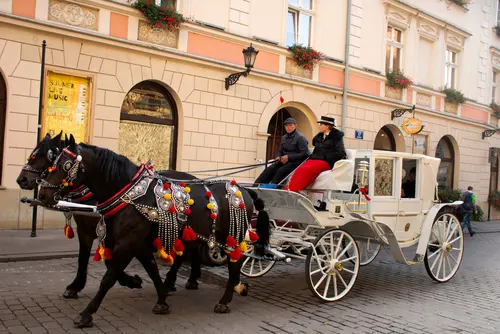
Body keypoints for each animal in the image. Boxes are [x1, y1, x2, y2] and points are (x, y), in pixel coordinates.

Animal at [16, 133, 202, 300]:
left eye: (44, 155)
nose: (22, 180)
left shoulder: (113, 233)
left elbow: (109, 261)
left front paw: (131, 281)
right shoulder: (86, 230)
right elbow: (83, 257)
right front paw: (75, 286)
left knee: (188, 250)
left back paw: (178, 280)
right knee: (189, 249)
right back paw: (186, 279)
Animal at [37, 134, 272, 328]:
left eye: (65, 165)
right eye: (51, 161)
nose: (42, 194)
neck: (130, 195)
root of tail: (244, 189)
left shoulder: (126, 244)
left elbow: (108, 277)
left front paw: (86, 313)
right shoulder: (136, 244)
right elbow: (150, 270)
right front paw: (160, 299)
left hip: (232, 237)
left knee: (235, 264)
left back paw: (225, 299)